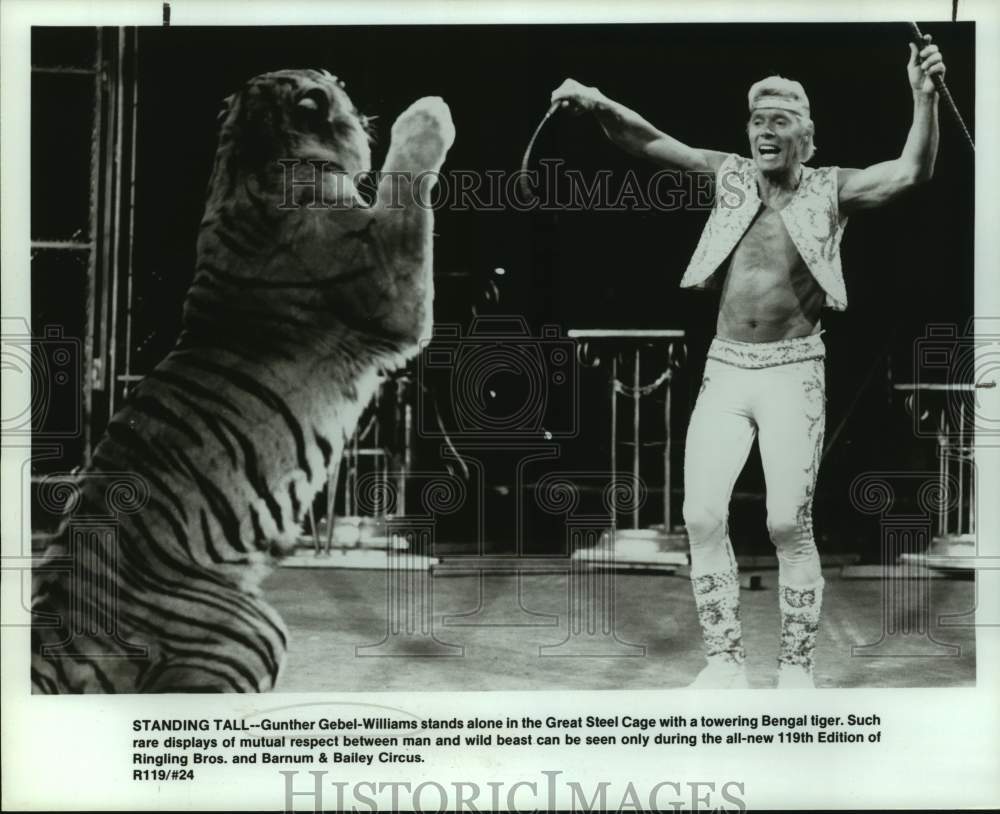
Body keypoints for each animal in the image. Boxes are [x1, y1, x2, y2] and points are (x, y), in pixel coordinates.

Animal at [32, 68, 458, 696]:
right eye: (334, 85)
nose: (350, 96)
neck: (249, 158)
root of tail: (61, 628)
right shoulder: (393, 290)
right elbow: (405, 185)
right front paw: (428, 112)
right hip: (250, 629)